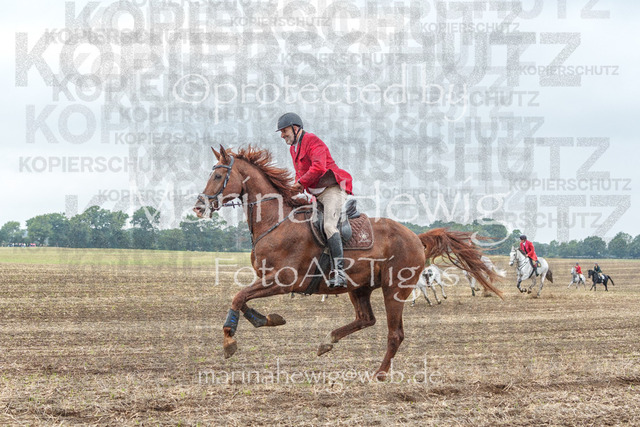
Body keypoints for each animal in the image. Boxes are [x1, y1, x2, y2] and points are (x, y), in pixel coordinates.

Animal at [193, 146, 503, 380]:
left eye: (219, 175)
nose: (198, 206)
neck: (276, 222)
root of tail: (415, 236)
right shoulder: (267, 280)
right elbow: (243, 299)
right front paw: (267, 319)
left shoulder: (283, 280)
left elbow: (238, 297)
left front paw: (230, 341)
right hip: (359, 287)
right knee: (366, 319)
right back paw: (327, 342)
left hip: (394, 290)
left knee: (395, 334)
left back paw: (380, 373)